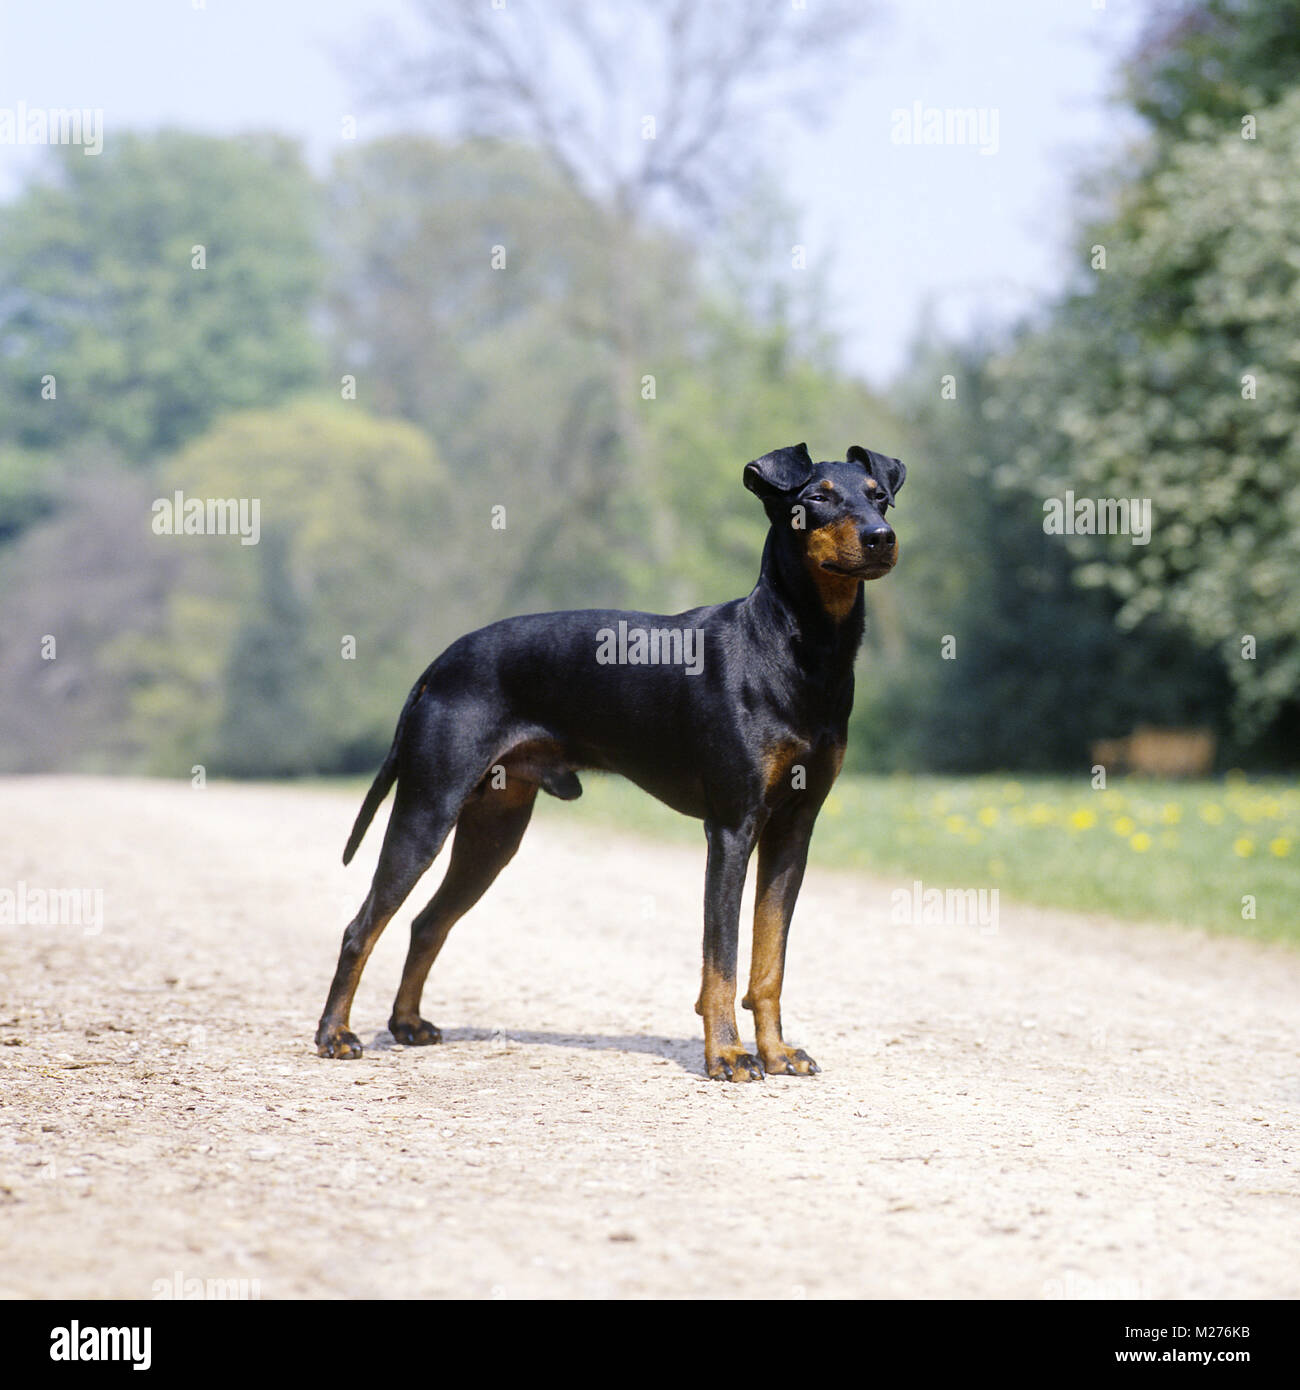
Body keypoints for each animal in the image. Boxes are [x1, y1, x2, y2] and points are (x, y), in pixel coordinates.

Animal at [315, 439, 906, 1078]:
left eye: (879, 495)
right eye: (817, 497)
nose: (880, 536)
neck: (798, 650)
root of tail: (439, 664)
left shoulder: (793, 830)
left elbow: (768, 962)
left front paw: (776, 1053)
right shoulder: (731, 829)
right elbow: (721, 962)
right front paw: (727, 1054)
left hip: (492, 833)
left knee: (426, 923)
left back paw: (406, 1025)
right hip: (427, 812)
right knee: (361, 927)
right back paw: (335, 1035)